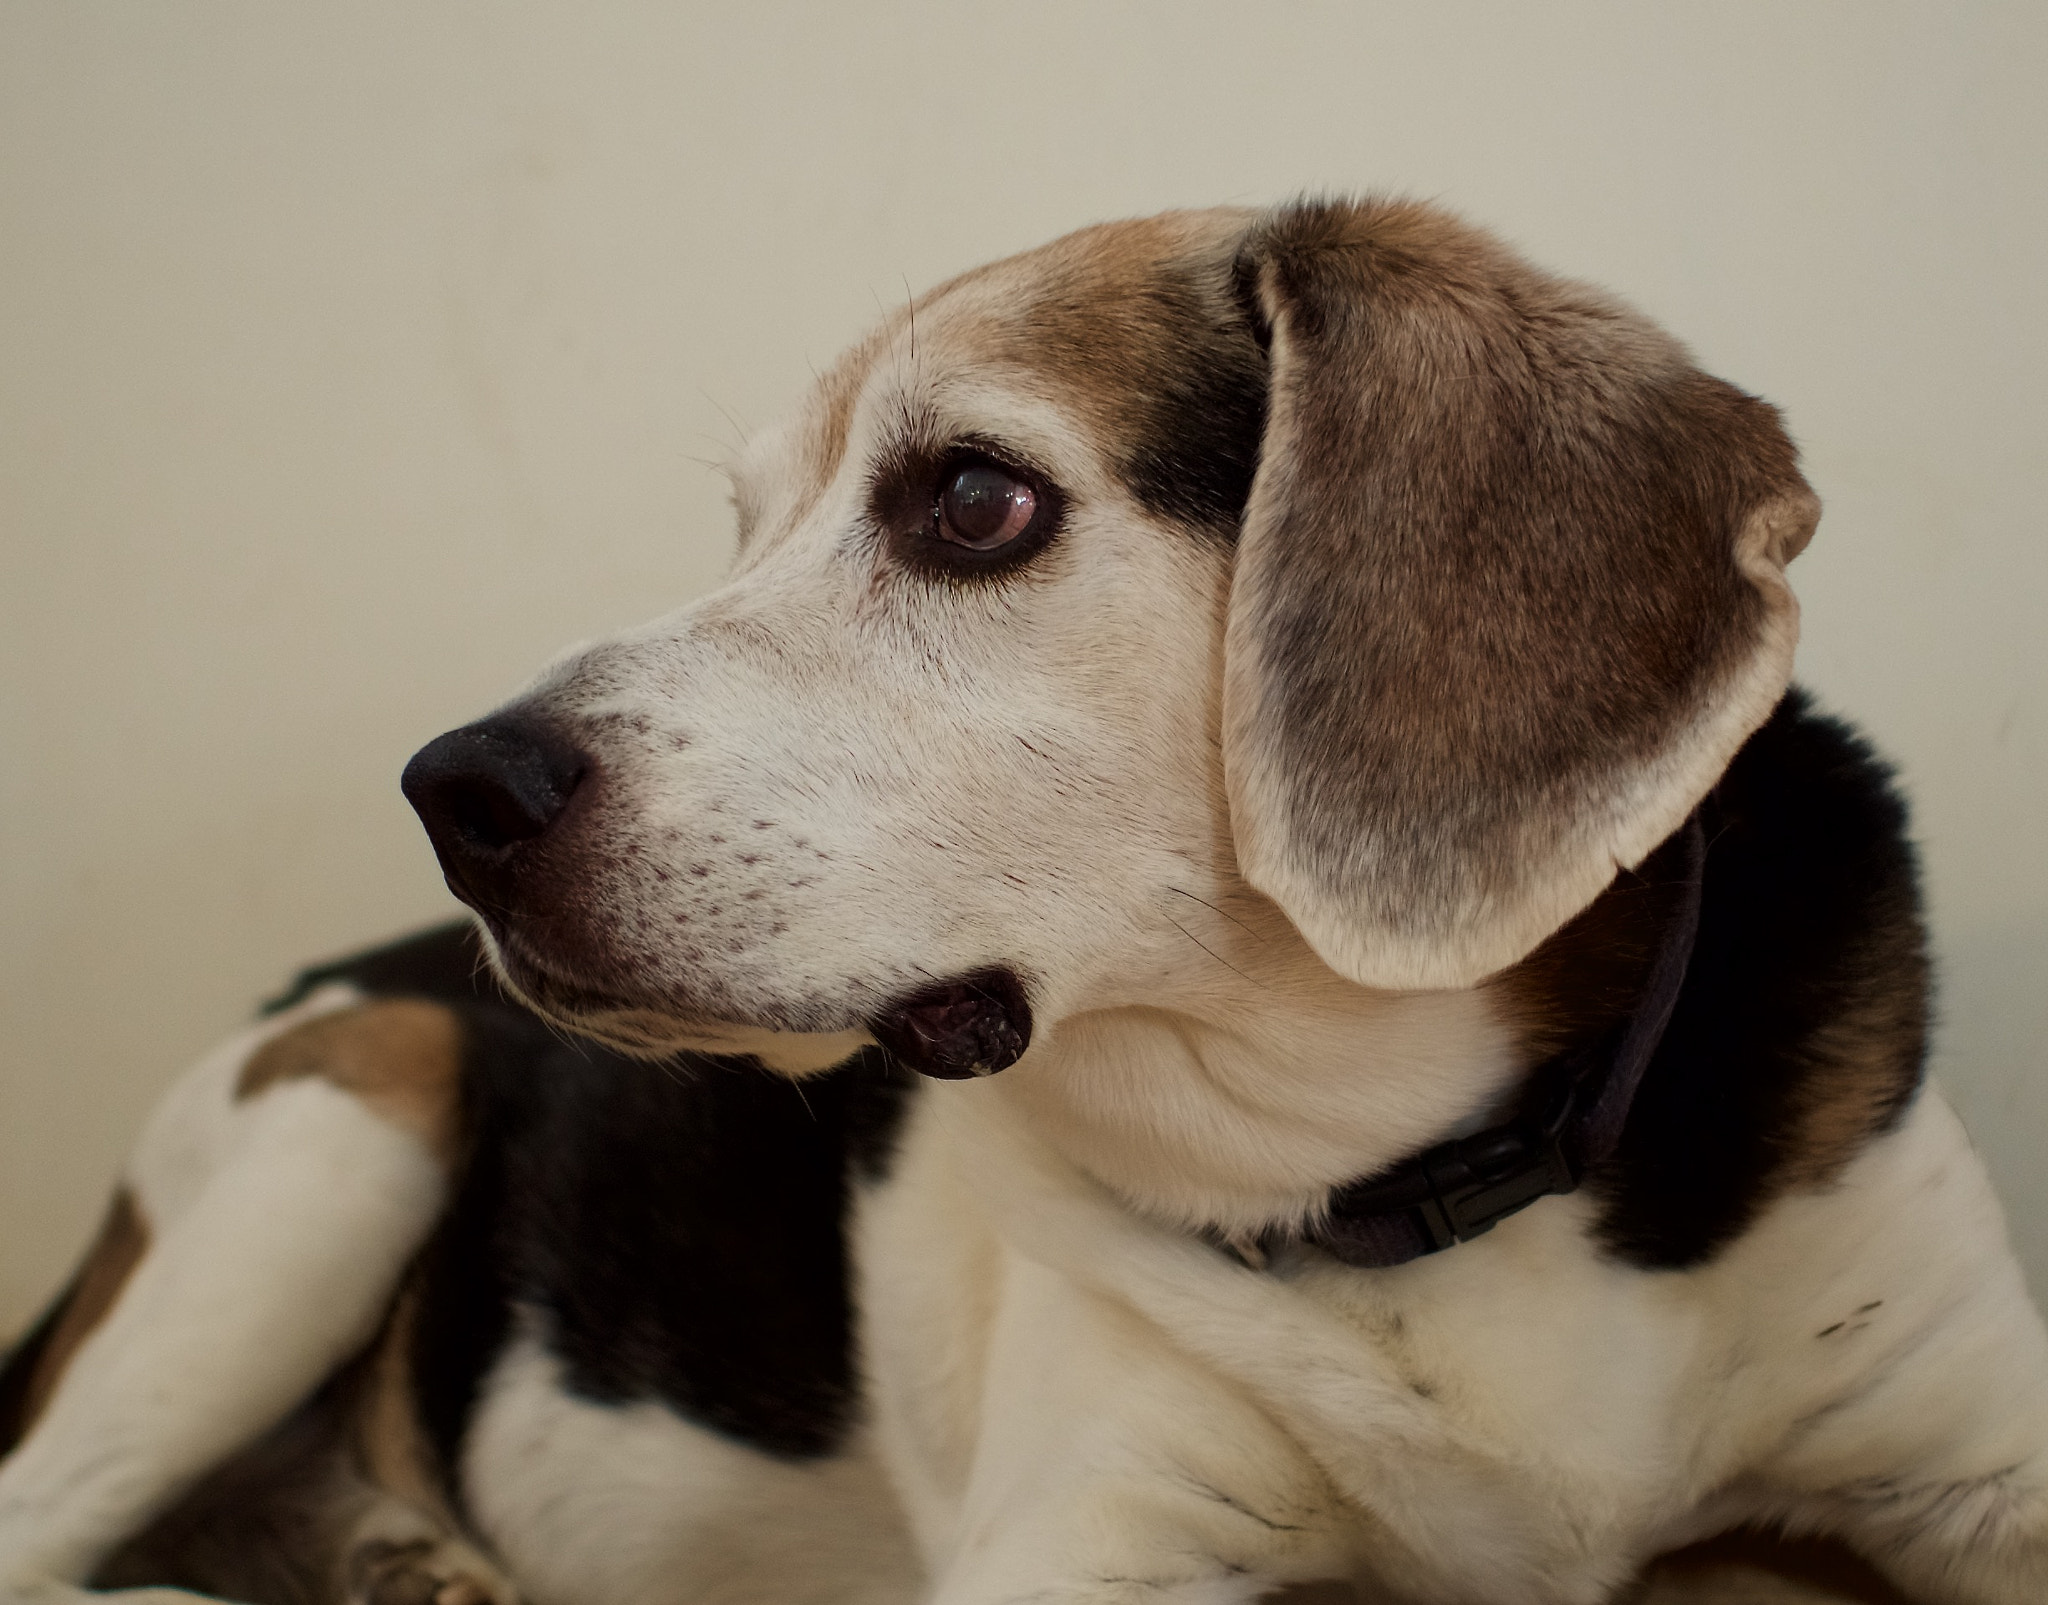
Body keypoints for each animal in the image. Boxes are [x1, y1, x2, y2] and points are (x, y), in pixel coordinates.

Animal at [4, 200, 2048, 1604]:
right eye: (744, 528)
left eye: (973, 499)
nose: (455, 792)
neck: (1403, 1188)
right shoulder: (1089, 1539)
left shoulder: (1978, 1453)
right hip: (367, 1098)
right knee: (42, 1537)